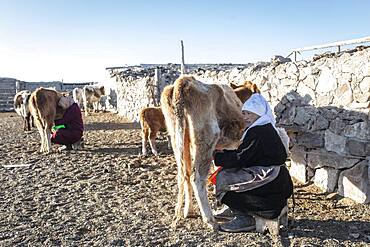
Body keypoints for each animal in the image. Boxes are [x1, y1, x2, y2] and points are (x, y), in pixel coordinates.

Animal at [161, 75, 246, 230]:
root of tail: (184, 81)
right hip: (206, 140)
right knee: (197, 178)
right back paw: (210, 220)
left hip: (179, 139)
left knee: (185, 174)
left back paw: (188, 211)